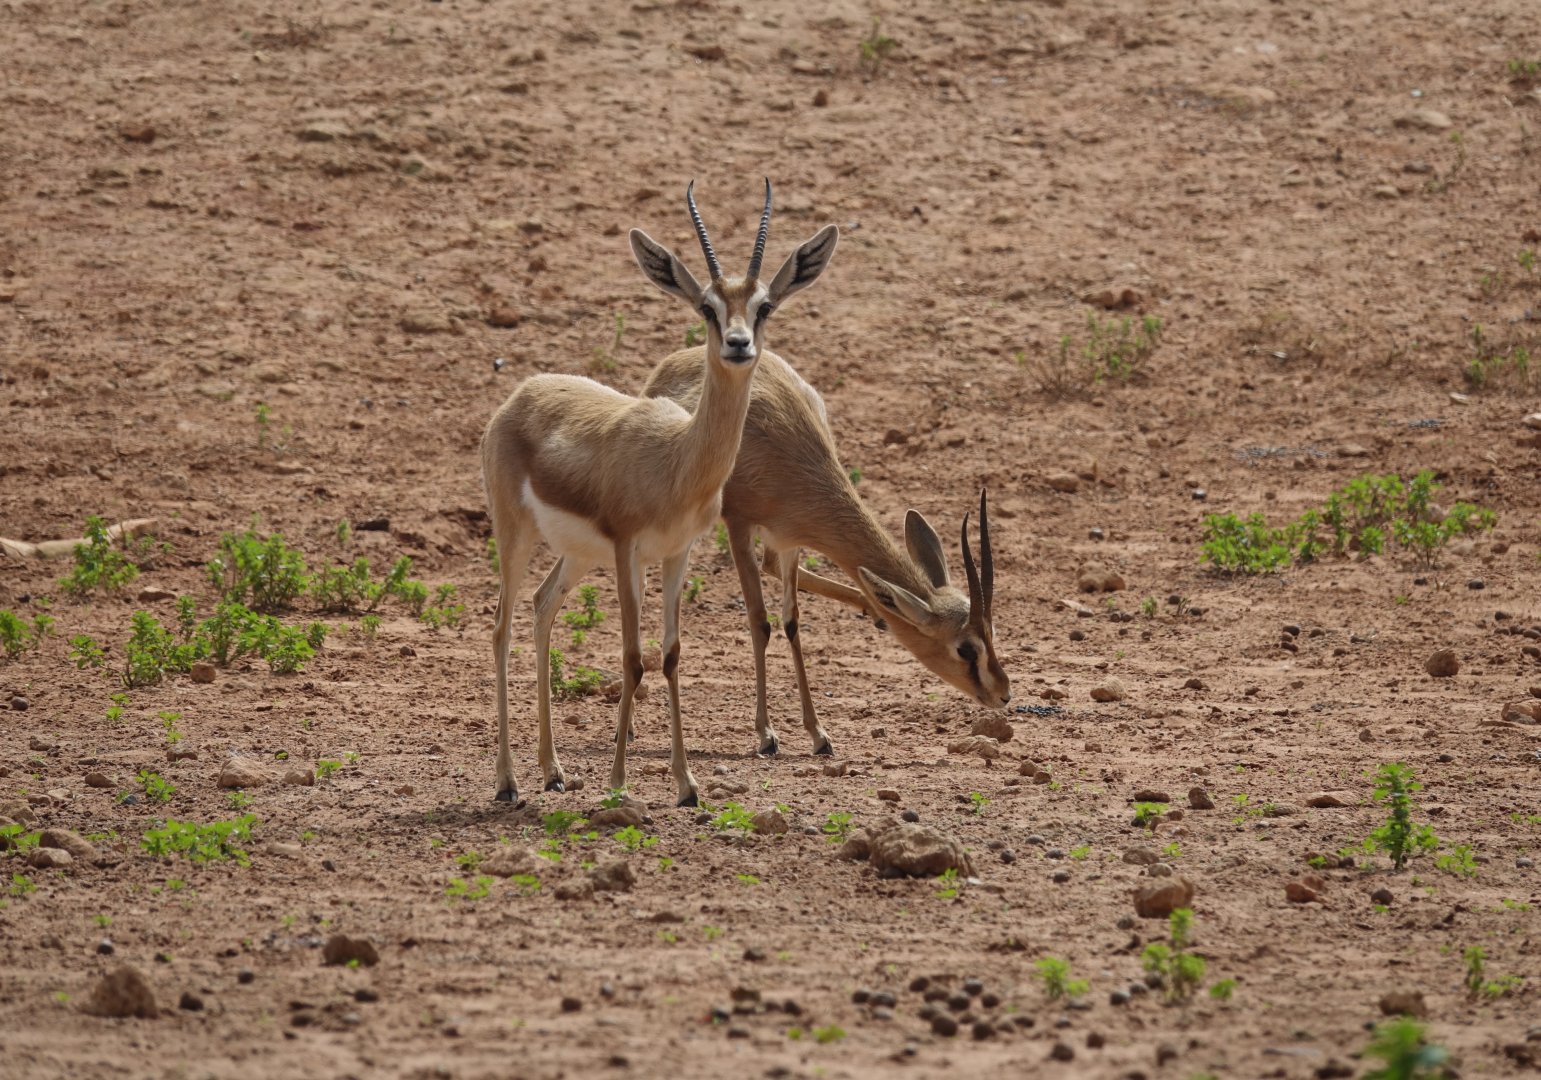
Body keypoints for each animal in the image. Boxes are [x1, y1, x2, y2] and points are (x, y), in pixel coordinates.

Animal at [481, 180, 839, 807]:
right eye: (707, 308)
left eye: (764, 307)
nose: (739, 344)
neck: (677, 459)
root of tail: (521, 394)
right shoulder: (629, 552)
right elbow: (632, 657)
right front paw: (619, 783)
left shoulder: (677, 553)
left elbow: (669, 656)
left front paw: (686, 784)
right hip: (515, 534)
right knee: (502, 627)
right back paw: (508, 782)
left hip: (577, 555)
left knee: (542, 607)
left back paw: (553, 770)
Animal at [642, 356, 1010, 759]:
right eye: (966, 649)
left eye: (993, 634)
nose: (1004, 694)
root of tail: (675, 360)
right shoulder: (739, 524)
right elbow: (760, 622)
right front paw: (767, 734)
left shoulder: (791, 536)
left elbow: (791, 621)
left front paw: (818, 734)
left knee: (773, 568)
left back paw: (871, 606)